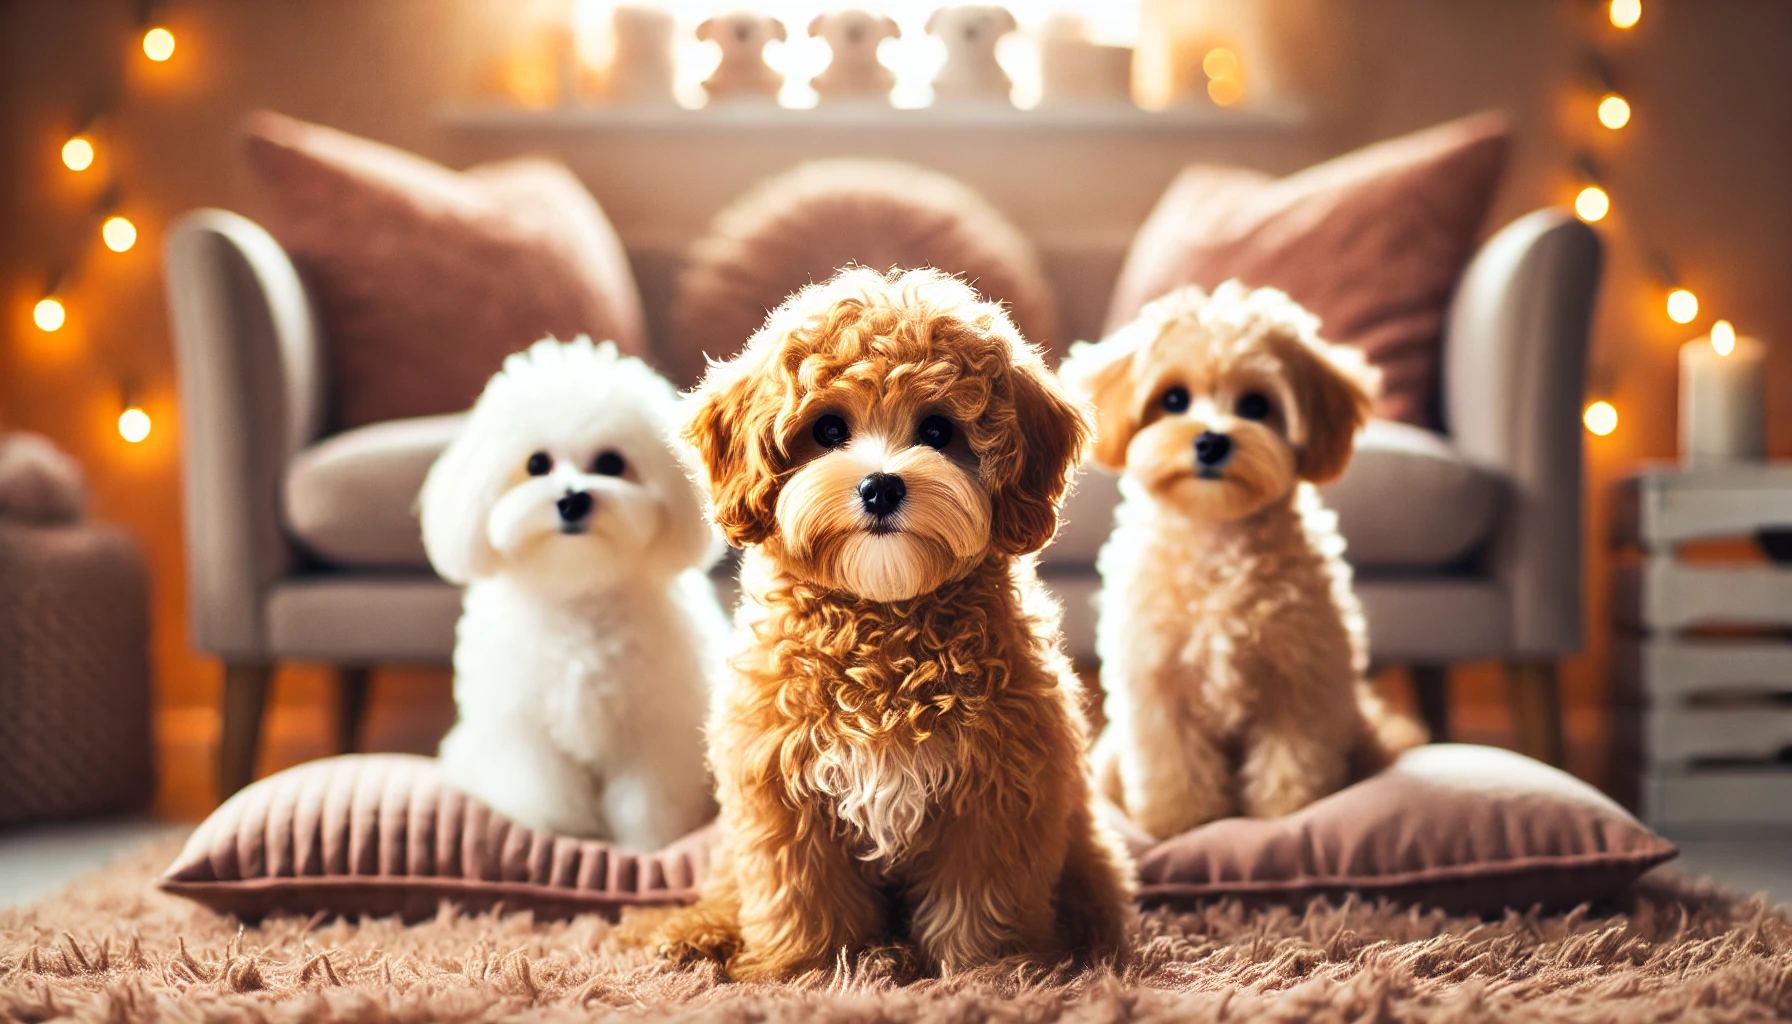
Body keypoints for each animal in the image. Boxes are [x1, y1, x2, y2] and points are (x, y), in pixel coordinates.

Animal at [421, 337, 727, 850]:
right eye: (536, 465)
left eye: (611, 464)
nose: (572, 499)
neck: (579, 590)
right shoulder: (525, 730)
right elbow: (546, 790)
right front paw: (563, 832)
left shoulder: (654, 730)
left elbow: (645, 799)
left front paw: (646, 842)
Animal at [659, 267, 1132, 982]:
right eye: (828, 430)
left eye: (938, 430)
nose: (880, 486)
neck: (883, 619)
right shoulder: (782, 791)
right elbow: (801, 892)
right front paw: (808, 968)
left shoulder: (995, 792)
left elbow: (980, 895)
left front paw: (992, 971)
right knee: (725, 890)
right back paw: (691, 934)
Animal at [1053, 283, 1419, 842]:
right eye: (1173, 400)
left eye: (1256, 405)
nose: (1211, 440)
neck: (1216, 538)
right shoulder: (1156, 680)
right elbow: (1172, 760)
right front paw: (1180, 819)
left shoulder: (1301, 673)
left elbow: (1292, 755)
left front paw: (1285, 808)